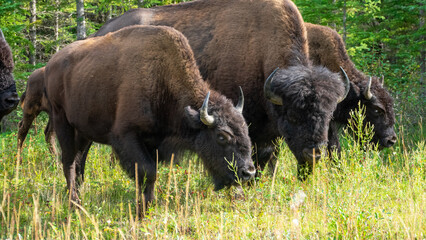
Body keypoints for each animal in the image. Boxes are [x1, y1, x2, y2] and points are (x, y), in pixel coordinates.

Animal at [45, 25, 255, 206]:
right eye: (221, 136)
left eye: (246, 130)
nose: (248, 172)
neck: (162, 78)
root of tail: (51, 63)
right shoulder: (126, 136)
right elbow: (148, 172)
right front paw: (144, 208)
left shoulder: (153, 142)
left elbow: (148, 176)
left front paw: (147, 205)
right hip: (61, 121)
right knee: (68, 161)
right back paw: (74, 202)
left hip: (84, 131)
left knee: (79, 161)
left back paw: (79, 195)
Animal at [93, 0, 350, 176]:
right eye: (294, 115)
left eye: (329, 116)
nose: (314, 153)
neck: (261, 51)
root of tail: (102, 31)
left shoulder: (271, 133)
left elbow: (270, 160)